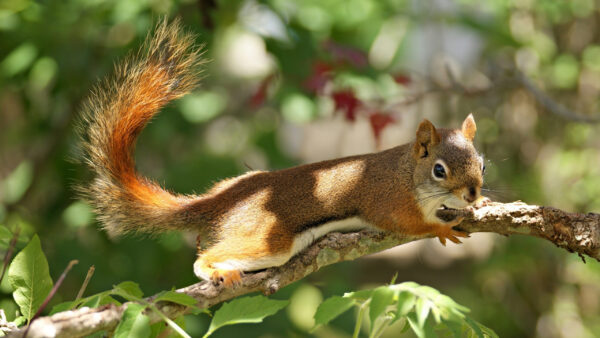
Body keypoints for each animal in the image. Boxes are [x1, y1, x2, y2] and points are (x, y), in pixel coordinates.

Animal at [77, 19, 486, 288]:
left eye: (481, 163)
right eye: (438, 170)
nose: (472, 194)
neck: (407, 173)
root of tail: (224, 200)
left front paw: (478, 206)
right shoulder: (387, 200)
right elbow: (405, 224)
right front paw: (439, 229)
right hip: (268, 237)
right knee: (212, 255)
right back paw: (215, 270)